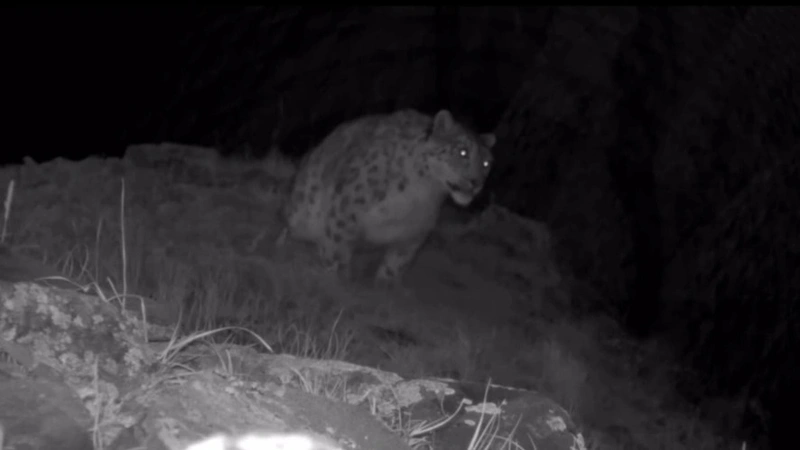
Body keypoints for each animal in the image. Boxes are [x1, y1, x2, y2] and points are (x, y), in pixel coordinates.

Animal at [280, 108, 496, 285]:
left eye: (486, 163)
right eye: (462, 151)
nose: (476, 183)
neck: (422, 194)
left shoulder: (415, 232)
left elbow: (397, 264)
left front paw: (385, 287)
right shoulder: (347, 206)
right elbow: (337, 245)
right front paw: (337, 279)